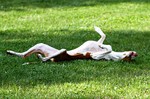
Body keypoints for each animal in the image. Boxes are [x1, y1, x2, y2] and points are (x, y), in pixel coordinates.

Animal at [6, 26, 137, 62]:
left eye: (129, 58)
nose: (135, 53)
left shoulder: (95, 56)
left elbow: (107, 48)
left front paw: (103, 47)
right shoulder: (98, 42)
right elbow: (104, 37)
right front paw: (97, 29)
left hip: (58, 50)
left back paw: (43, 58)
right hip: (41, 45)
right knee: (24, 55)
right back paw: (10, 52)